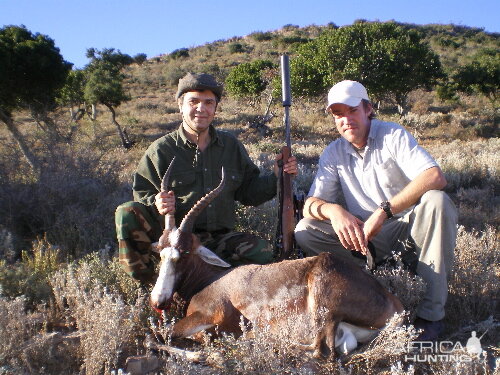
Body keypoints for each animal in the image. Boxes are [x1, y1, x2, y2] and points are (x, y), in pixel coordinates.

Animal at [150, 164, 404, 358]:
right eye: (160, 251)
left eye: (184, 252)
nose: (158, 301)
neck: (215, 277)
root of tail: (395, 304)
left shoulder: (211, 314)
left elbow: (158, 336)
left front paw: (207, 354)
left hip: (324, 310)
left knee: (322, 351)